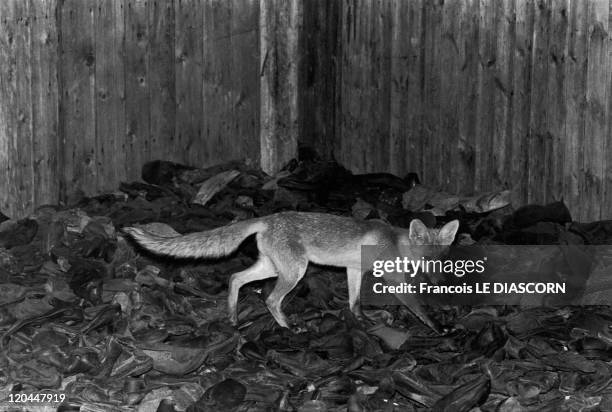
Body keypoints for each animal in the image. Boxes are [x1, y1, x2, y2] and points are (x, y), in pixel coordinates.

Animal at [124, 212, 460, 332]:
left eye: (443, 259)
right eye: (427, 260)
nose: (441, 281)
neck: (395, 241)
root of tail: (268, 218)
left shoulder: (353, 270)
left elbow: (354, 303)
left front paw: (361, 322)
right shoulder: (393, 279)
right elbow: (418, 308)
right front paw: (440, 328)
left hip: (271, 267)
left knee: (235, 279)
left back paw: (232, 317)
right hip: (295, 271)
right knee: (270, 299)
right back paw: (288, 328)